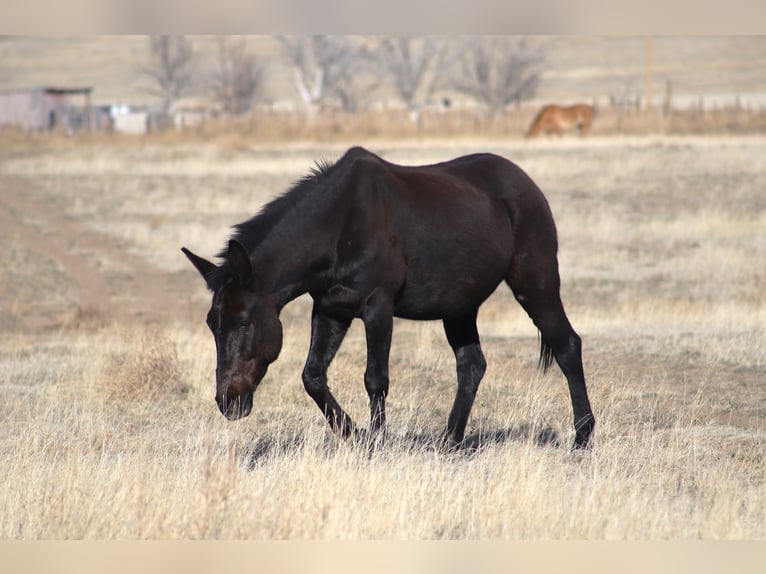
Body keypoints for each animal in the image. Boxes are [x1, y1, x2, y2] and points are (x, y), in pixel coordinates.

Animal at [183, 147, 596, 450]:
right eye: (212, 325)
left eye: (243, 321)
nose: (228, 401)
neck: (339, 227)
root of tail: (528, 184)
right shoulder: (331, 309)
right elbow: (313, 376)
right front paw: (353, 433)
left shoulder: (377, 308)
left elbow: (375, 379)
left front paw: (376, 441)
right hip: (459, 308)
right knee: (472, 366)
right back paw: (450, 441)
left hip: (536, 284)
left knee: (566, 345)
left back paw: (582, 437)